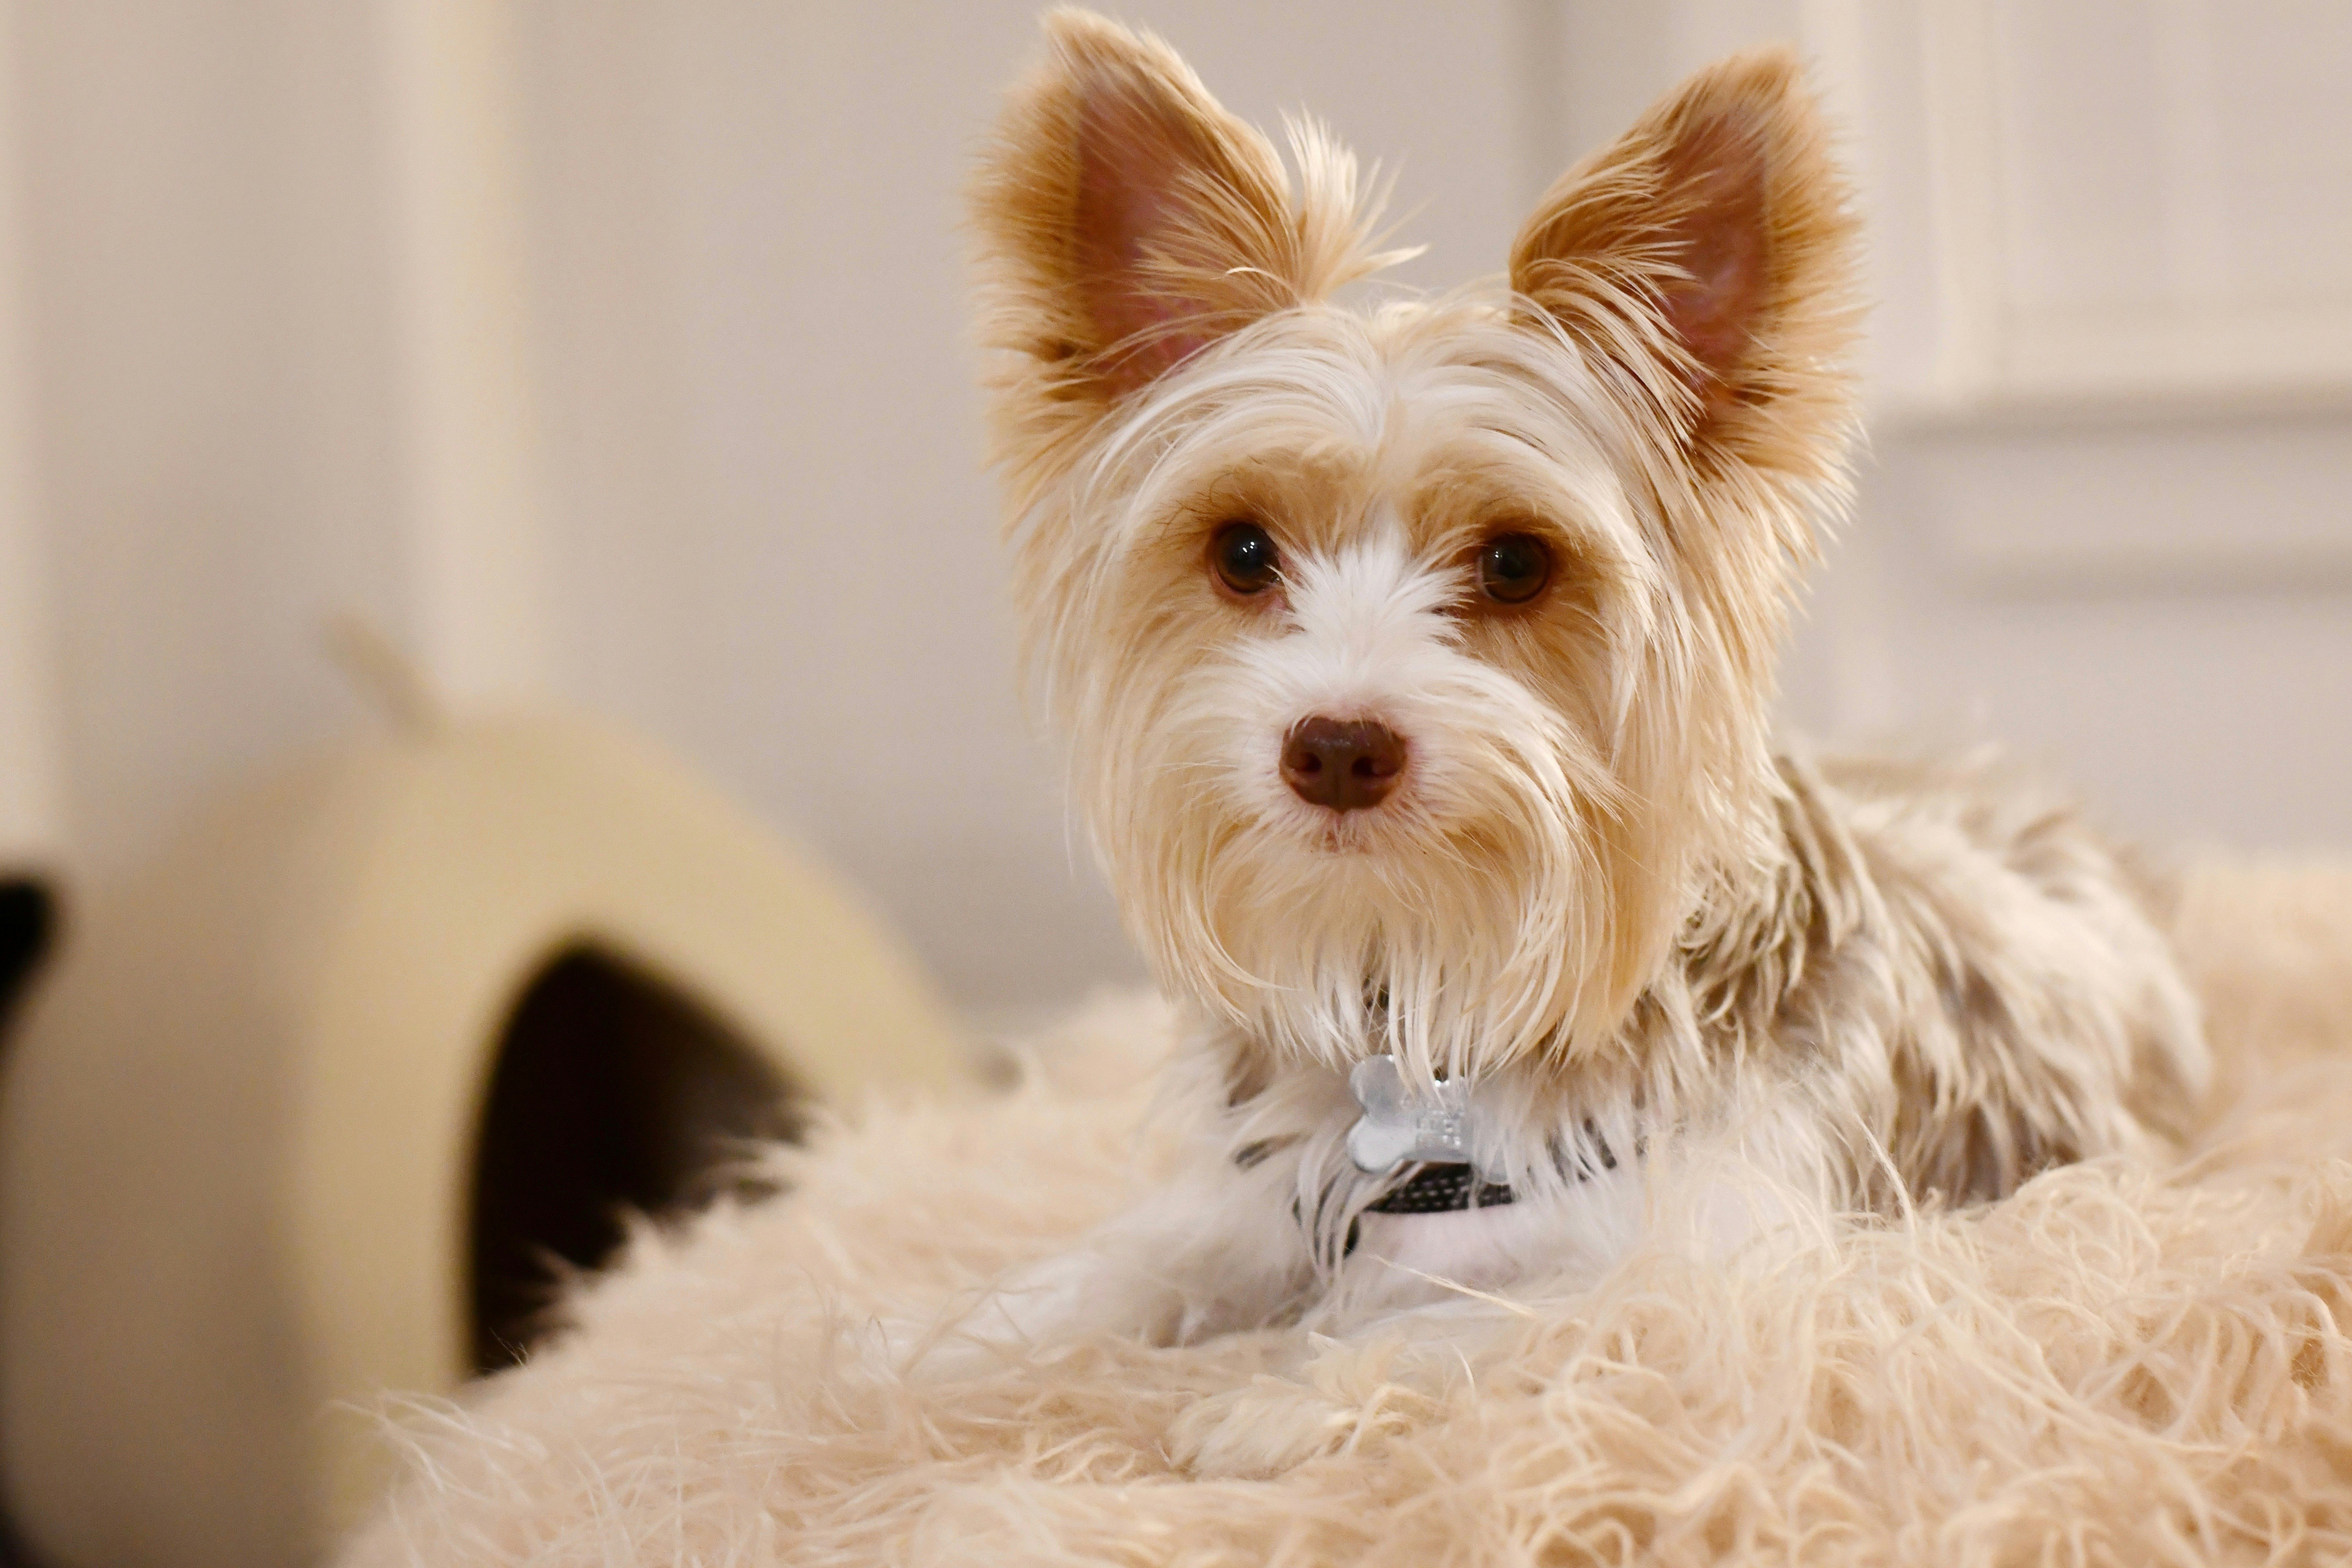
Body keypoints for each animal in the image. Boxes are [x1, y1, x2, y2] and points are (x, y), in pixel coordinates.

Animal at [936, 12, 2201, 1354]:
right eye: (1241, 552)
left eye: (1515, 563)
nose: (1335, 746)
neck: (1422, 976)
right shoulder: (1244, 1202)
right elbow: (1098, 1276)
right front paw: (934, 1349)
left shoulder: (1706, 1264)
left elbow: (1435, 1326)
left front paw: (1281, 1378)